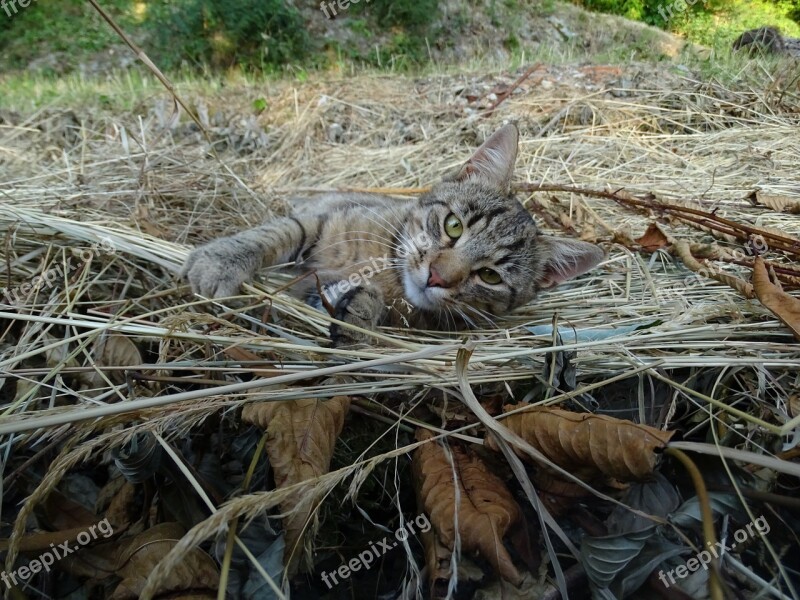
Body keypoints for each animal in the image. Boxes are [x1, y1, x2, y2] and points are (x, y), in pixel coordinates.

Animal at [181, 124, 604, 344]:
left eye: (489, 276)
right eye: (453, 225)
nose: (436, 277)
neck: (386, 266)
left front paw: (362, 312)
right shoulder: (321, 217)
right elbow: (275, 234)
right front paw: (222, 261)